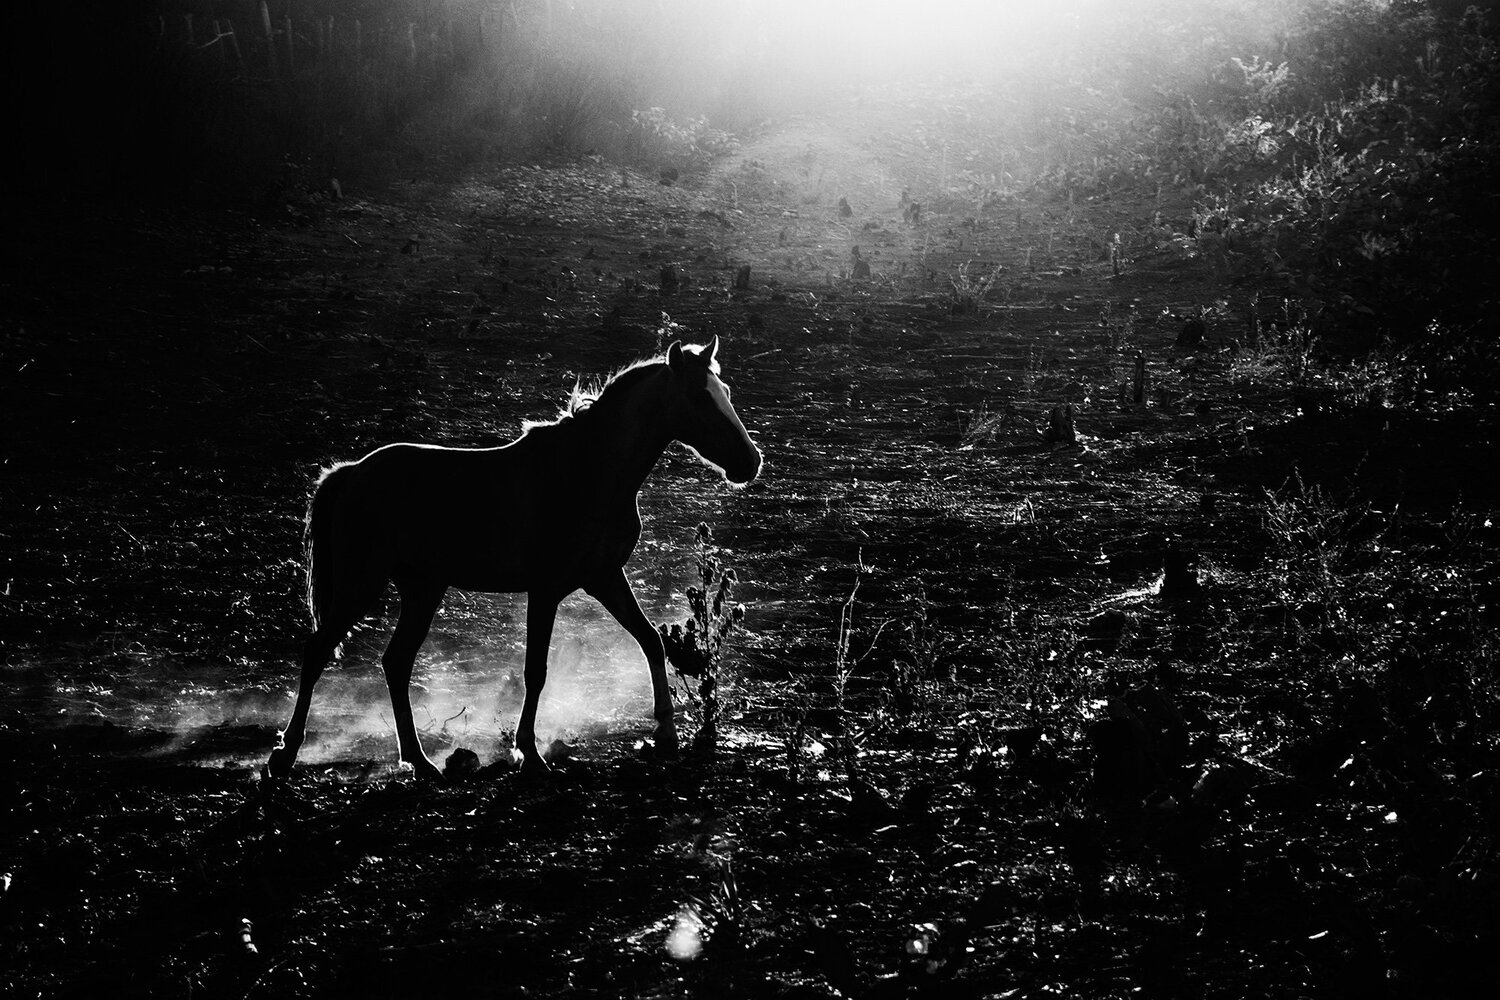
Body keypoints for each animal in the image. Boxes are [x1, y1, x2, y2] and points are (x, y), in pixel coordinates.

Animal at [265, 337, 761, 779]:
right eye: (699, 396)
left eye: (725, 390)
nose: (750, 461)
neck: (589, 470)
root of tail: (350, 473)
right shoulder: (546, 589)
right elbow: (535, 670)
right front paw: (530, 754)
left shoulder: (604, 578)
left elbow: (651, 640)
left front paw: (666, 735)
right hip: (362, 583)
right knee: (318, 651)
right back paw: (284, 756)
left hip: (422, 589)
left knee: (396, 662)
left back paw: (420, 762)